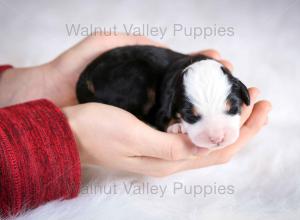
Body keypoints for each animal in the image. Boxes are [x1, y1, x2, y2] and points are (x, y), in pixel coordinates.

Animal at [76, 45, 250, 149]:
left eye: (233, 108)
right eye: (190, 115)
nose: (217, 139)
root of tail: (86, 77)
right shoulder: (162, 107)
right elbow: (162, 119)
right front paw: (177, 126)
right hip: (136, 74)